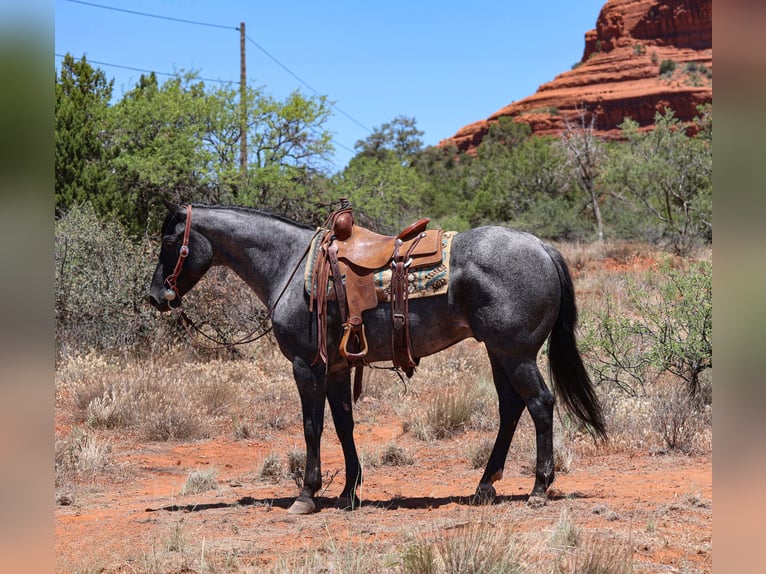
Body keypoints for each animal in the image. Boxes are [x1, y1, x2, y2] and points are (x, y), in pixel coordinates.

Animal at [148, 202, 606, 514]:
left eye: (169, 242)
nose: (155, 296)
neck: (289, 265)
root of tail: (542, 247)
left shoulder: (306, 365)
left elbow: (312, 427)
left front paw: (306, 494)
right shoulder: (334, 367)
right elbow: (344, 426)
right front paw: (349, 492)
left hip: (516, 353)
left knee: (540, 404)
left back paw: (539, 488)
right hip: (498, 352)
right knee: (511, 408)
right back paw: (484, 486)